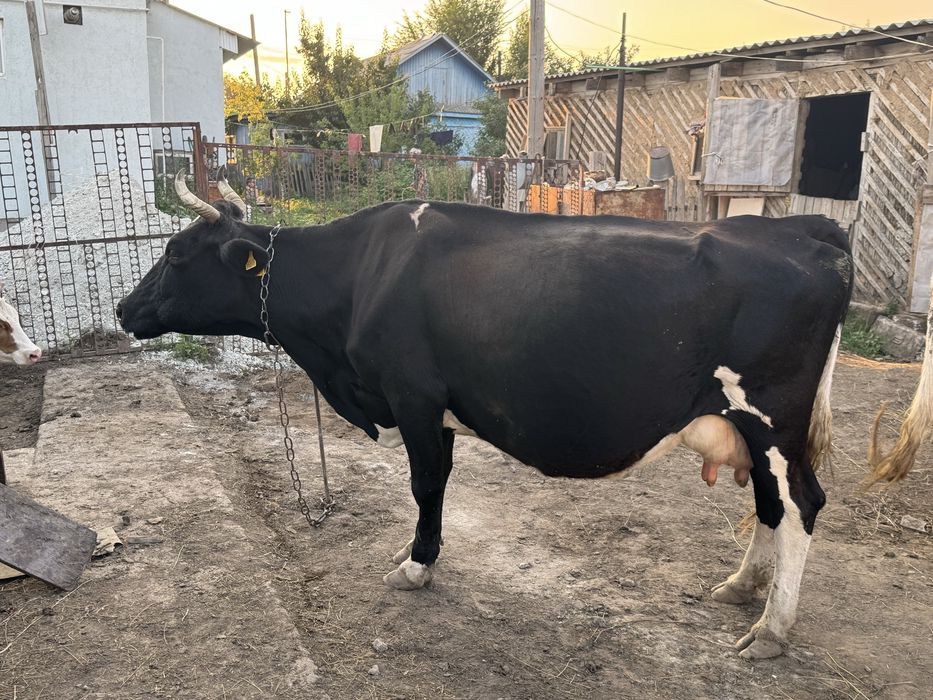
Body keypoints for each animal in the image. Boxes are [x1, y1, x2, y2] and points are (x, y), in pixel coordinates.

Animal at [117, 172, 928, 660]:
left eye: (177, 253)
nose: (124, 309)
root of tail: (801, 228)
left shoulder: (415, 397)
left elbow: (426, 486)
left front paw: (416, 565)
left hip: (772, 414)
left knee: (802, 506)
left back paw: (770, 629)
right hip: (750, 428)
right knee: (770, 505)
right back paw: (741, 589)